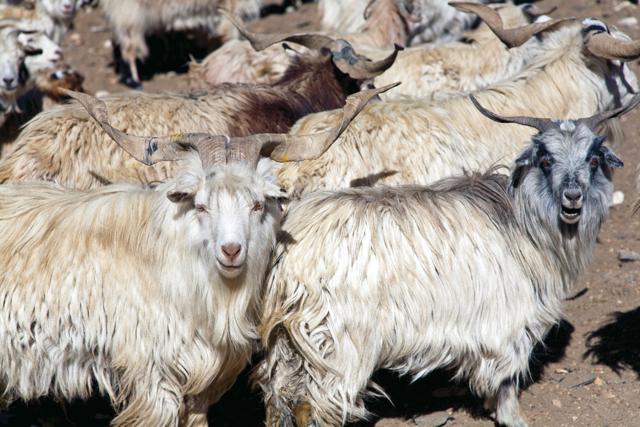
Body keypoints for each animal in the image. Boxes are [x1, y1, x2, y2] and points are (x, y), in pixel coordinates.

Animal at [254, 95, 639, 427]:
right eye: (546, 161)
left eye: (593, 159)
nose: (573, 197)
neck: (523, 221)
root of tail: (292, 253)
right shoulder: (506, 321)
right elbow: (506, 379)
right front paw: (511, 417)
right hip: (340, 343)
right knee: (318, 405)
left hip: (292, 339)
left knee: (279, 399)